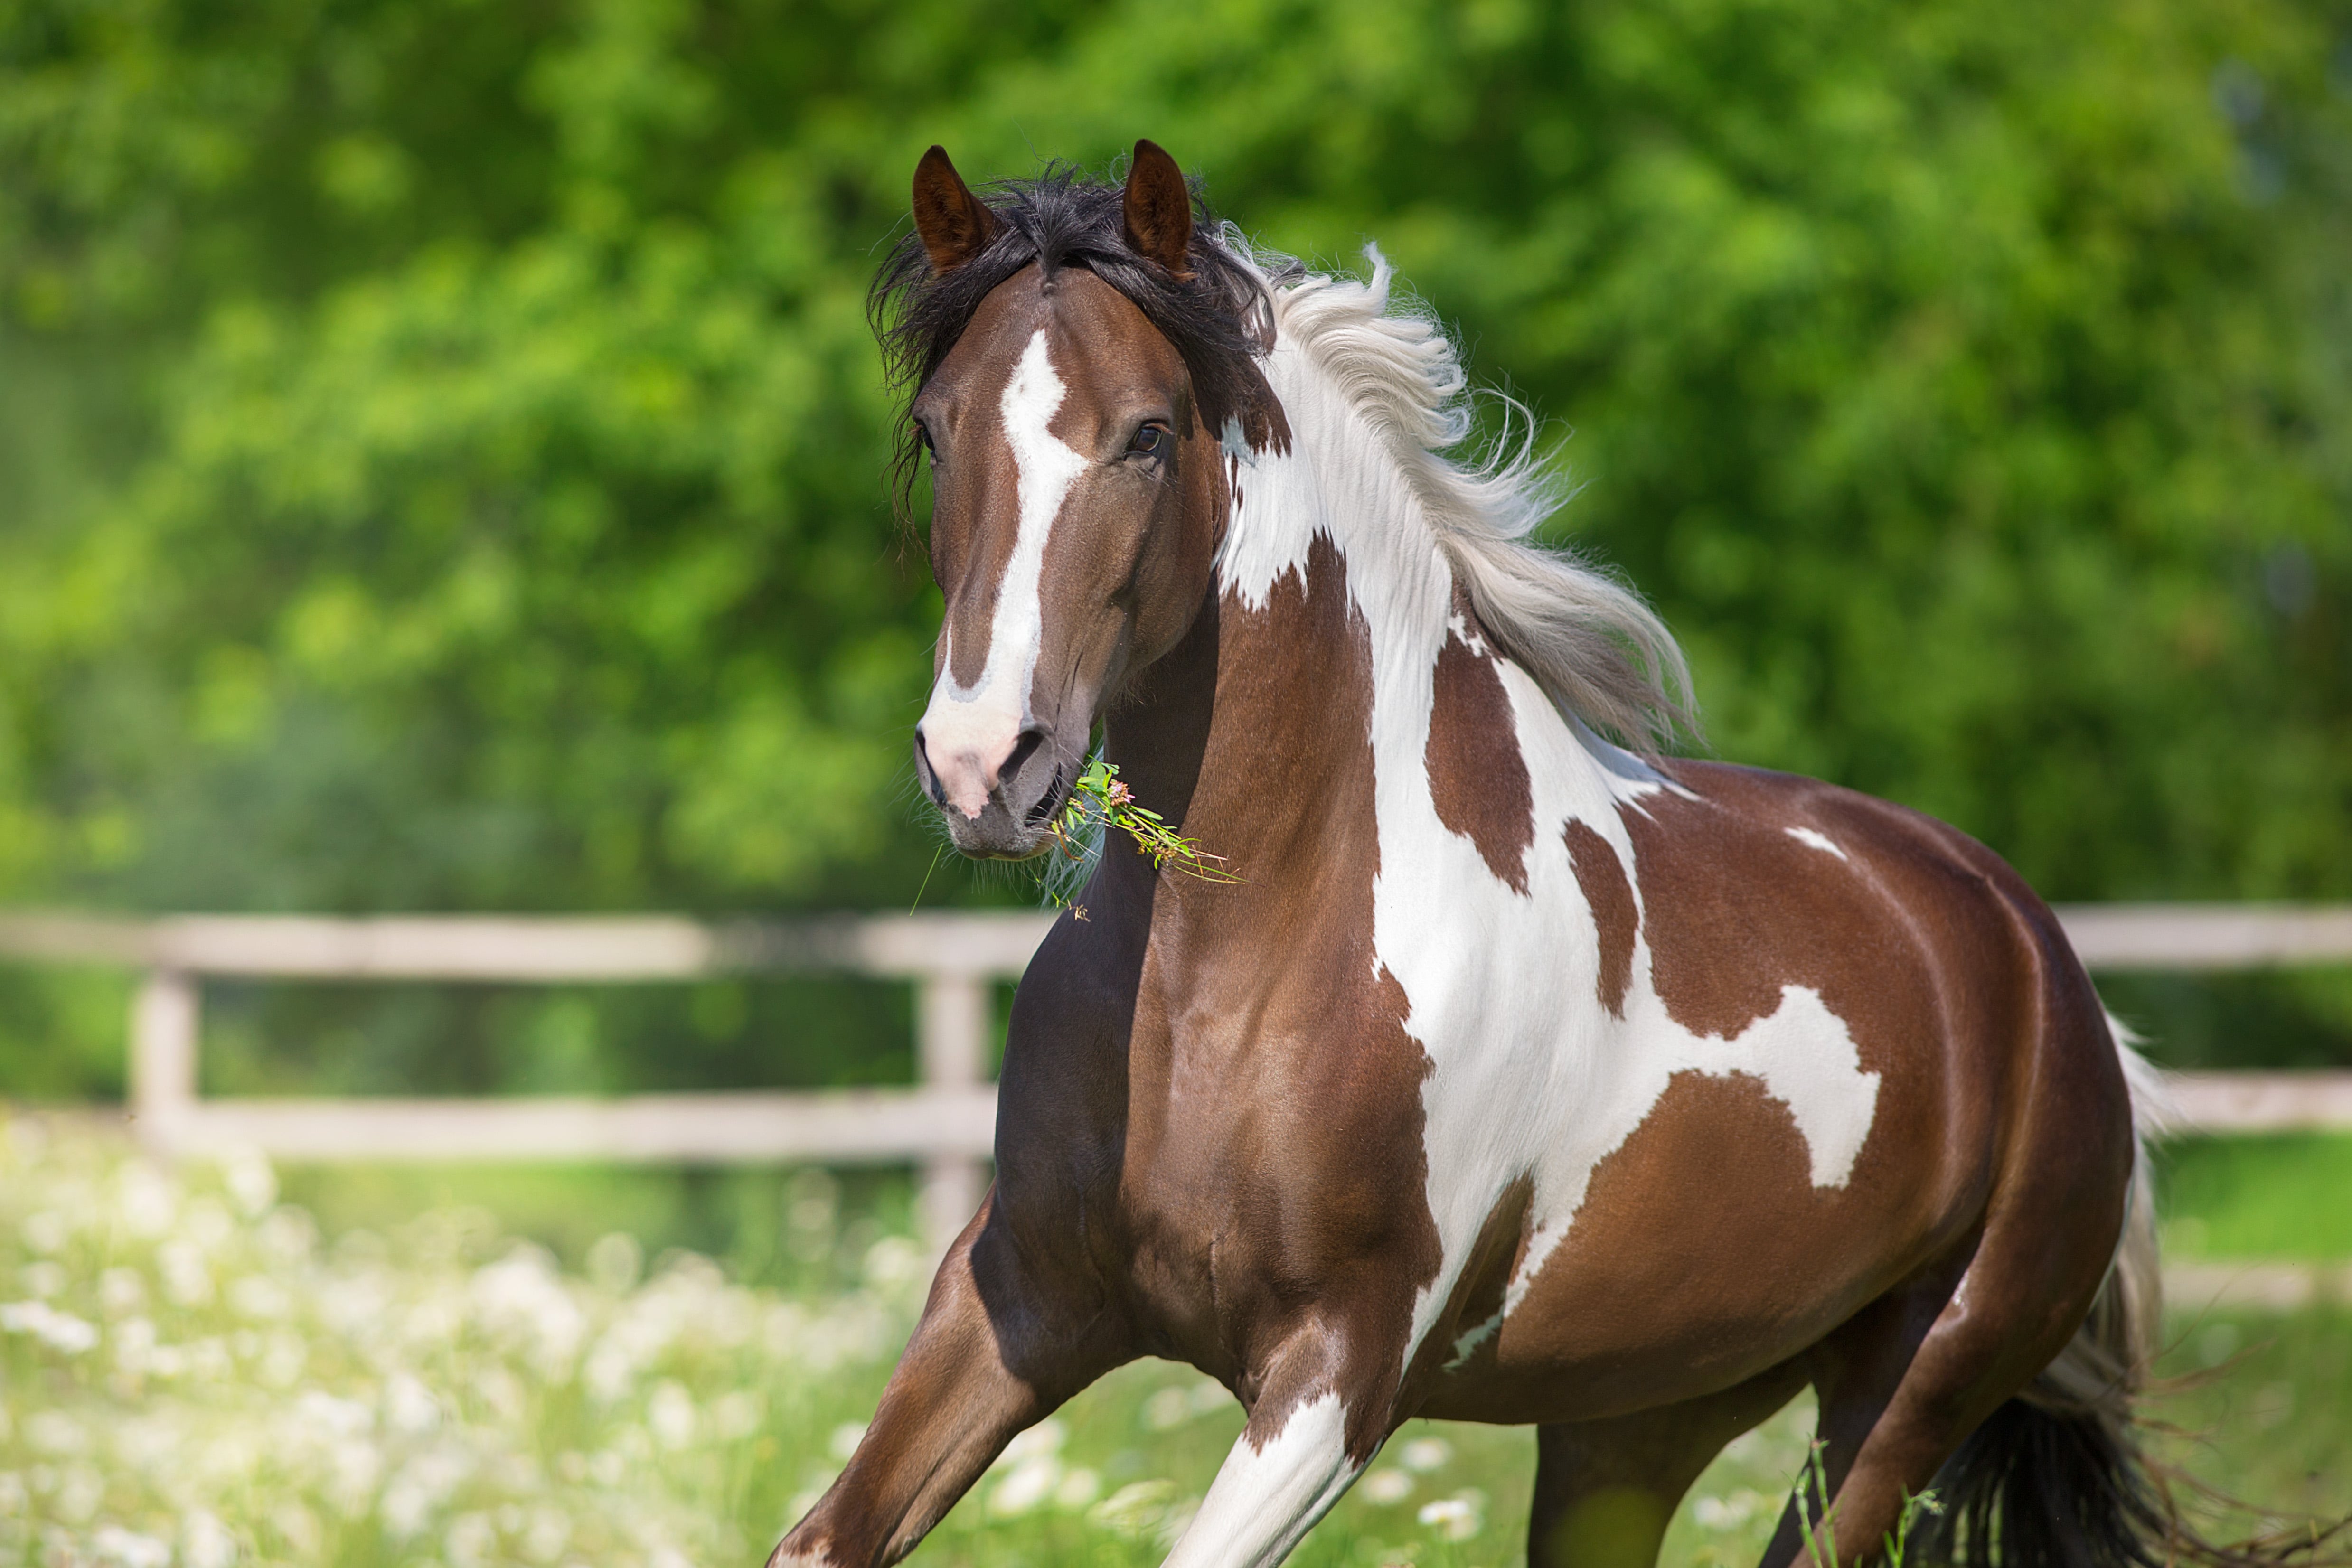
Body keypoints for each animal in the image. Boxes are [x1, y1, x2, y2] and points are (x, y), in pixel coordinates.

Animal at [771, 144, 2183, 1568]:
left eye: (1149, 434)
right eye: (937, 428)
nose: (980, 764)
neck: (1238, 964)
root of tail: (2046, 968)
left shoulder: (1340, 1372)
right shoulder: (1020, 1295)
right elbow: (824, 1536)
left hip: (1901, 1407)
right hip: (1635, 1417)